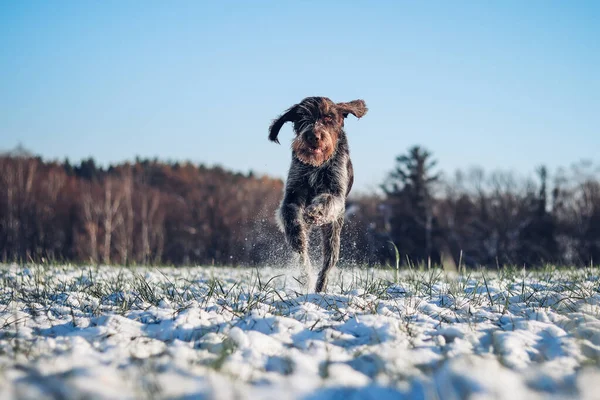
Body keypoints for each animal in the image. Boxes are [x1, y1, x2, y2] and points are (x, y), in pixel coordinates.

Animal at [270, 95, 368, 292]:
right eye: (302, 117)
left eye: (328, 118)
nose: (313, 136)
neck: (316, 164)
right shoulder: (293, 193)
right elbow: (289, 214)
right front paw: (295, 234)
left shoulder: (336, 192)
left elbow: (327, 199)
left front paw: (315, 212)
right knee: (303, 257)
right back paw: (305, 277)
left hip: (333, 234)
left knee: (327, 265)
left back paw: (319, 288)